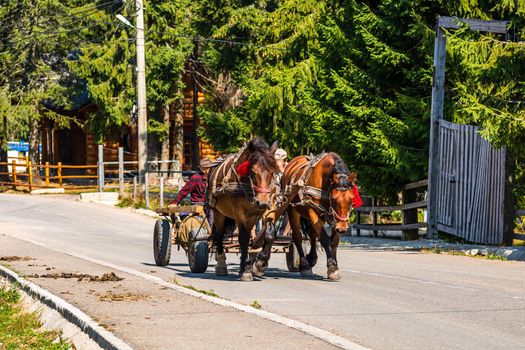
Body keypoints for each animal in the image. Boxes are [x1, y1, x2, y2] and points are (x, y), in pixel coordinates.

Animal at [207, 137, 278, 282]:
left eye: (272, 172)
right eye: (253, 172)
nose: (262, 202)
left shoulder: (260, 211)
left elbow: (269, 232)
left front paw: (260, 263)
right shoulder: (239, 212)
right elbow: (244, 238)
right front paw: (245, 270)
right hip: (218, 213)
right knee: (219, 235)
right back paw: (221, 264)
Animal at [282, 152, 360, 280]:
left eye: (351, 198)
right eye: (334, 198)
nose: (342, 228)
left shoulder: (333, 216)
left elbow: (334, 241)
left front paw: (334, 264)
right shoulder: (312, 209)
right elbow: (325, 239)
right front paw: (332, 268)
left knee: (313, 234)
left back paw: (312, 258)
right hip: (292, 208)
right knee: (297, 236)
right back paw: (304, 265)